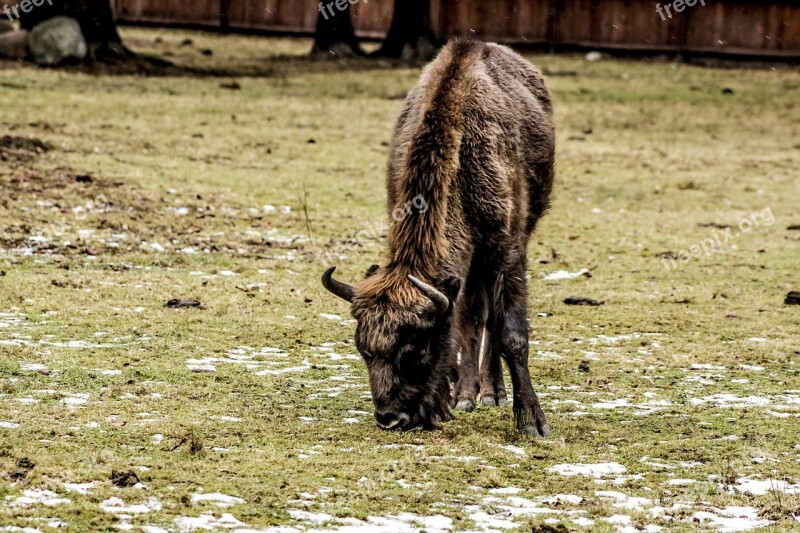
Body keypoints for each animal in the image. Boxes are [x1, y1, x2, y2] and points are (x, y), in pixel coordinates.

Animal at [322, 38, 552, 436]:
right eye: (363, 349)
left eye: (415, 347)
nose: (391, 418)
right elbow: (464, 320)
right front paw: (458, 396)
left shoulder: (507, 250)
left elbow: (511, 333)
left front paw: (533, 422)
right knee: (474, 314)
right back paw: (470, 394)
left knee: (490, 319)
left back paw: (492, 393)